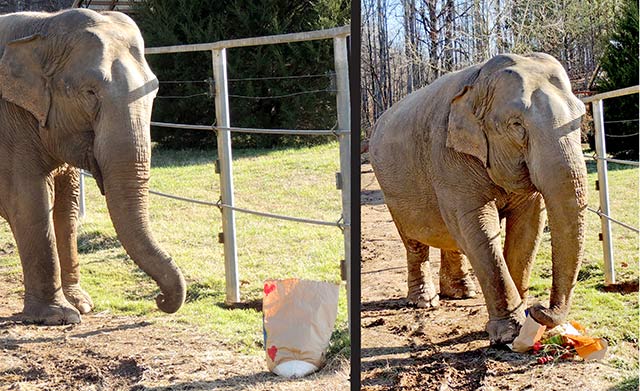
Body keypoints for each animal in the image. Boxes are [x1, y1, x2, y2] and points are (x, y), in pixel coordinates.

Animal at [0, 9, 185, 326]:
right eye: (90, 93)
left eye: (155, 91)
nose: (159, 299)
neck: (44, 26)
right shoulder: (10, 124)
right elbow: (29, 202)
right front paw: (58, 316)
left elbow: (68, 208)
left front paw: (81, 304)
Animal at [370, 53, 592, 344]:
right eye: (517, 125)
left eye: (580, 117)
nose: (539, 308)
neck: (478, 82)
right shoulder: (448, 155)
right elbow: (477, 226)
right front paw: (509, 333)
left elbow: (528, 227)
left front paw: (523, 320)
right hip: (390, 188)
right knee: (414, 241)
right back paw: (424, 301)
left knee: (451, 235)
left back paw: (462, 293)